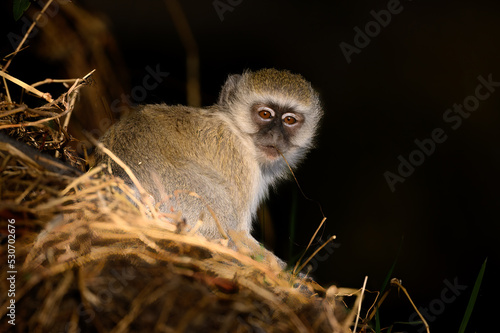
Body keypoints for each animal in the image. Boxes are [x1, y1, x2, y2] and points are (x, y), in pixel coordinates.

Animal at [95, 68, 322, 246]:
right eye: (265, 114)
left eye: (289, 120)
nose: (275, 135)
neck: (239, 132)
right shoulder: (242, 165)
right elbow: (237, 236)